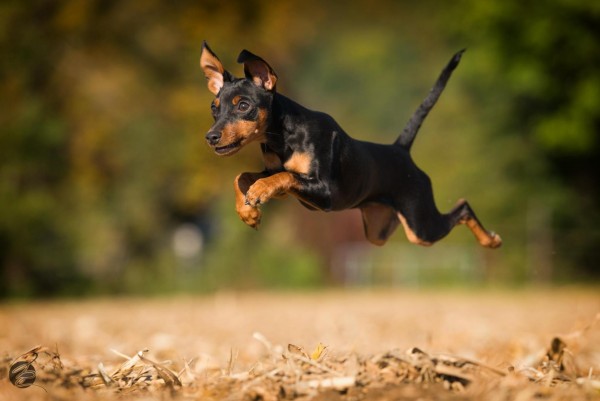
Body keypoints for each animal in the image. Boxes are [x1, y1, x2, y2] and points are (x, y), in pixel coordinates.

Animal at [198, 41, 502, 247]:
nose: (211, 137)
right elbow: (242, 177)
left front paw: (258, 193)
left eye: (244, 105)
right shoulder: (283, 184)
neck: (283, 137)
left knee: (462, 207)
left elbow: (284, 176)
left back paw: (491, 240)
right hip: (381, 228)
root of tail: (400, 149)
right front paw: (248, 213)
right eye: (214, 108)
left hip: (420, 223)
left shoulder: (325, 192)